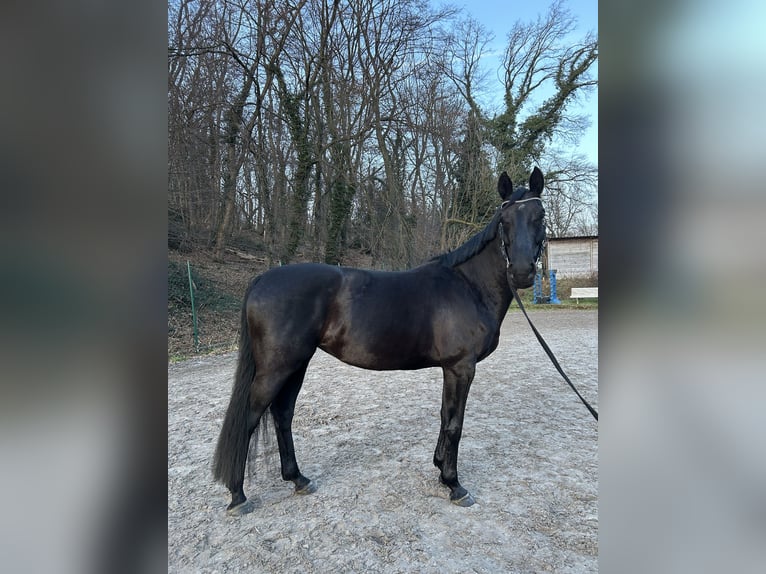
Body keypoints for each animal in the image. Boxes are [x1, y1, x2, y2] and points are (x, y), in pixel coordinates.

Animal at [213, 168, 547, 514]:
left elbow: (445, 416)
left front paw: (440, 466)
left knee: (282, 415)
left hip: (296, 365)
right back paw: (238, 496)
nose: (522, 272)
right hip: (276, 368)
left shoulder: (450, 369)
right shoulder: (461, 367)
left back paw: (298, 479)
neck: (468, 286)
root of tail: (262, 278)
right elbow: (456, 423)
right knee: (248, 420)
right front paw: (454, 484)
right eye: (504, 220)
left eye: (540, 216)